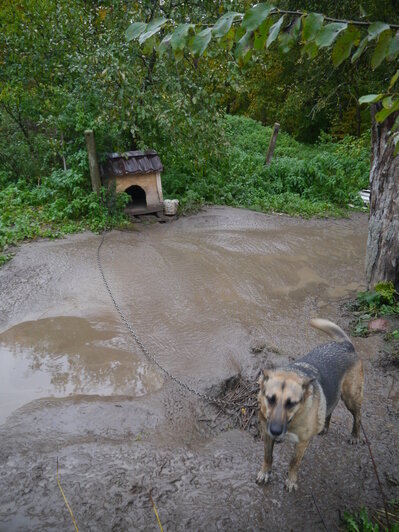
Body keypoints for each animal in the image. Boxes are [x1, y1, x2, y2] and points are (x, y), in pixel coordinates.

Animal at [258, 318, 364, 492]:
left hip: (351, 397)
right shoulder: (266, 435)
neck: (292, 421)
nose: (275, 430)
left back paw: (355, 435)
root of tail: (345, 344)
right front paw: (265, 472)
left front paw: (291, 481)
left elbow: (294, 463)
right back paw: (325, 426)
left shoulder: (302, 443)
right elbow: (267, 456)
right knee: (330, 408)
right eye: (270, 399)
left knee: (358, 416)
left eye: (291, 403)